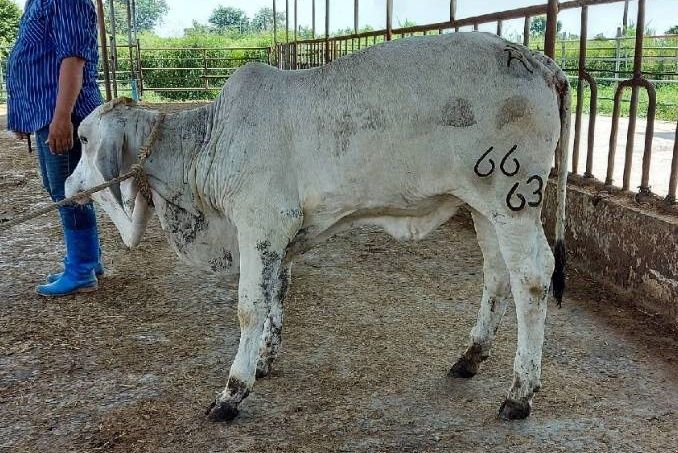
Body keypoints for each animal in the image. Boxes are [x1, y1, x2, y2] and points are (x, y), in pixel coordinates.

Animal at [66, 31, 570, 422]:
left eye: (84, 139)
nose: (67, 185)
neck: (208, 141)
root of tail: (541, 62)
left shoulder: (261, 224)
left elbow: (249, 307)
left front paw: (232, 391)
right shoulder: (279, 237)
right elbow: (277, 292)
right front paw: (264, 359)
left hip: (513, 202)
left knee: (532, 278)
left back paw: (520, 393)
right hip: (482, 207)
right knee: (496, 274)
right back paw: (470, 357)